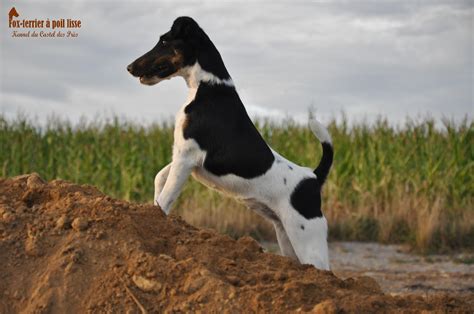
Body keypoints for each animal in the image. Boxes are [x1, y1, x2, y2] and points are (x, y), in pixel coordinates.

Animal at [127, 15, 334, 270]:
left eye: (164, 41)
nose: (129, 67)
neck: (206, 86)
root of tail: (314, 177)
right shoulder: (182, 156)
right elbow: (160, 178)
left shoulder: (187, 157)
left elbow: (166, 197)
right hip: (286, 237)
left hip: (307, 238)